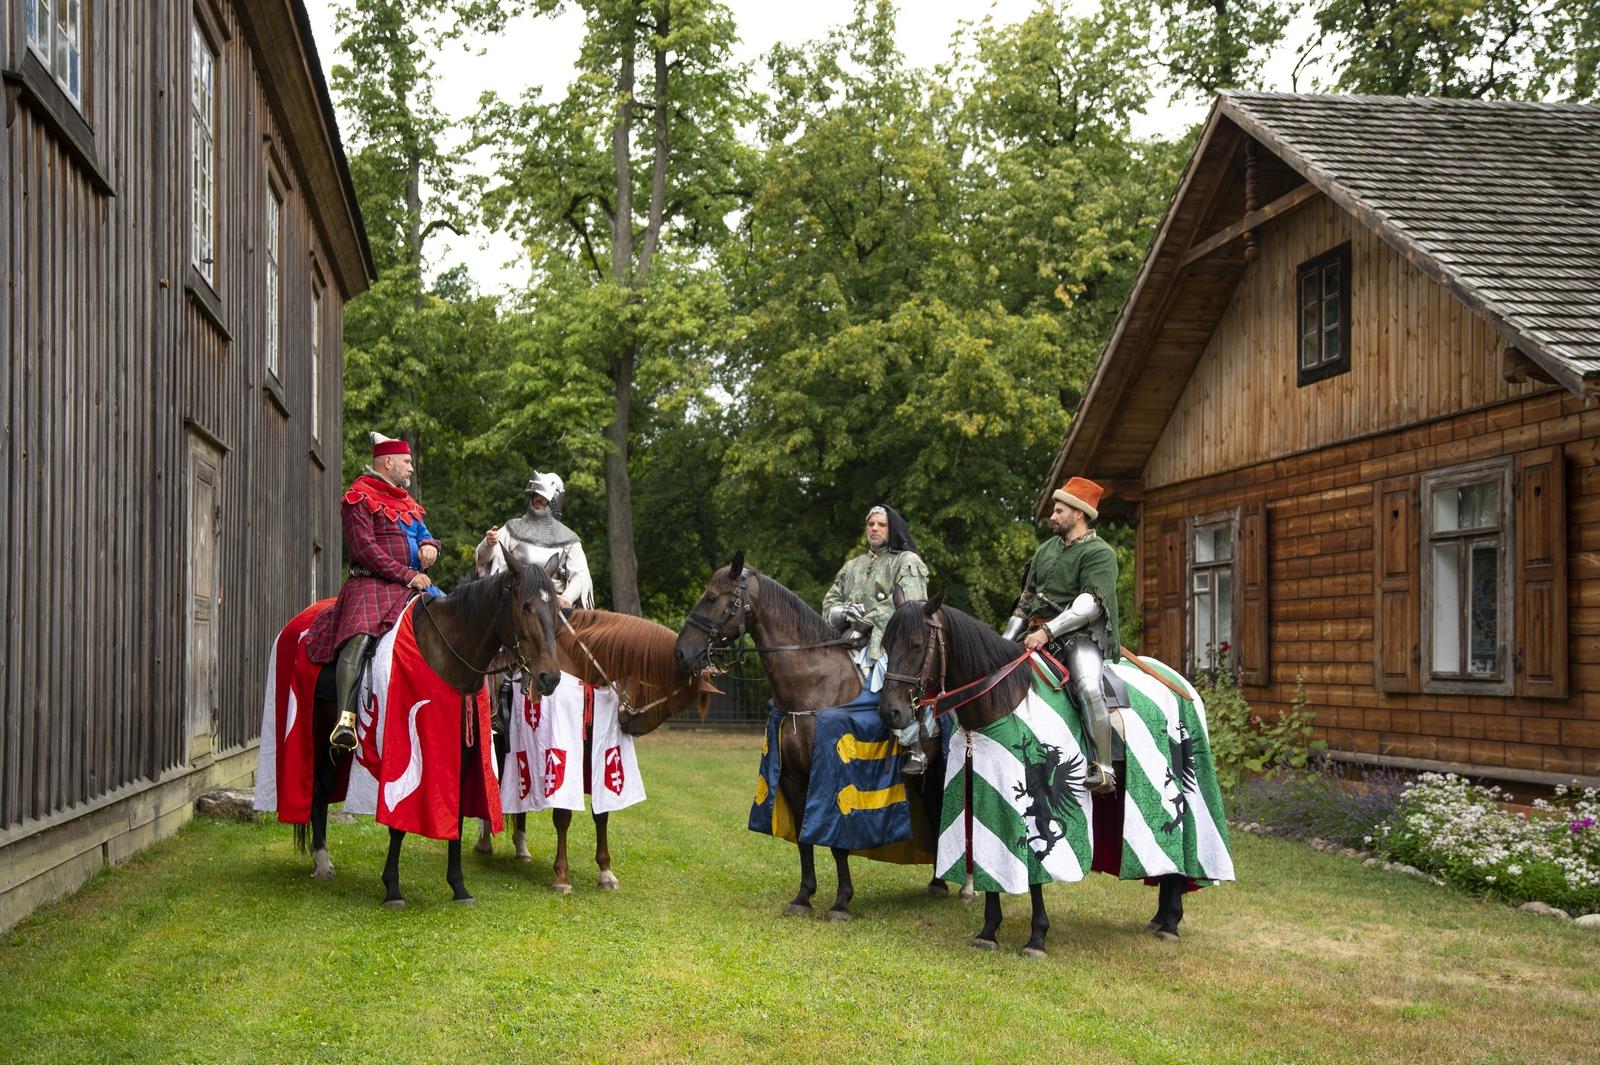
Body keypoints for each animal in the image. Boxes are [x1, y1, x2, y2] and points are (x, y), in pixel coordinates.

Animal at [261, 554, 563, 907]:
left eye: (556, 609)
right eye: (526, 606)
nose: (549, 678)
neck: (448, 653)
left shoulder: (461, 751)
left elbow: (456, 814)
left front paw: (459, 886)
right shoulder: (405, 750)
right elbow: (398, 820)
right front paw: (392, 888)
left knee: (322, 785)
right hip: (314, 728)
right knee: (317, 787)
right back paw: (322, 862)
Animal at [474, 608, 720, 894]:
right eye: (679, 701)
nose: (628, 724)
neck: (581, 668)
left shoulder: (597, 757)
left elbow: (601, 814)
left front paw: (605, 872)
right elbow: (563, 815)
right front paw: (562, 876)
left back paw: (521, 847)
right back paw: (485, 842)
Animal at [673, 551, 947, 922]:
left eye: (713, 598)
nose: (682, 652)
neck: (814, 686)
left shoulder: (836, 779)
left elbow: (838, 843)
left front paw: (842, 902)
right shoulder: (792, 777)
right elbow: (805, 838)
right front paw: (803, 896)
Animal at [878, 594, 1231, 955]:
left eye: (917, 645)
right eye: (886, 644)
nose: (891, 712)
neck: (1004, 698)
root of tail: (1180, 680)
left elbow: (1036, 874)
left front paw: (1037, 936)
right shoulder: (981, 792)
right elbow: (989, 861)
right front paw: (989, 930)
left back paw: (1171, 921)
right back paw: (1162, 916)